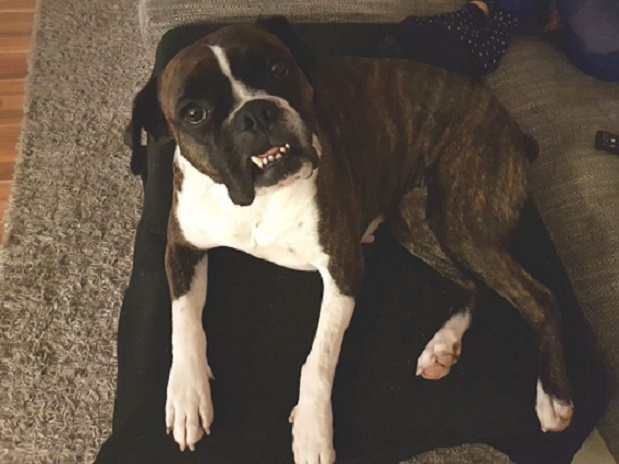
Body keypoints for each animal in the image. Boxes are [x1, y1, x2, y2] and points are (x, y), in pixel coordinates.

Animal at [125, 17, 574, 463]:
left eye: (278, 69)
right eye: (194, 114)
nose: (256, 111)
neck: (258, 203)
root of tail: (512, 125)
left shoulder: (343, 268)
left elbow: (319, 358)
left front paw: (312, 428)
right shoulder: (182, 248)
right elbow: (184, 321)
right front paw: (187, 395)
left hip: (463, 222)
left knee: (539, 298)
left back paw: (554, 399)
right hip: (413, 220)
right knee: (474, 284)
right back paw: (443, 344)